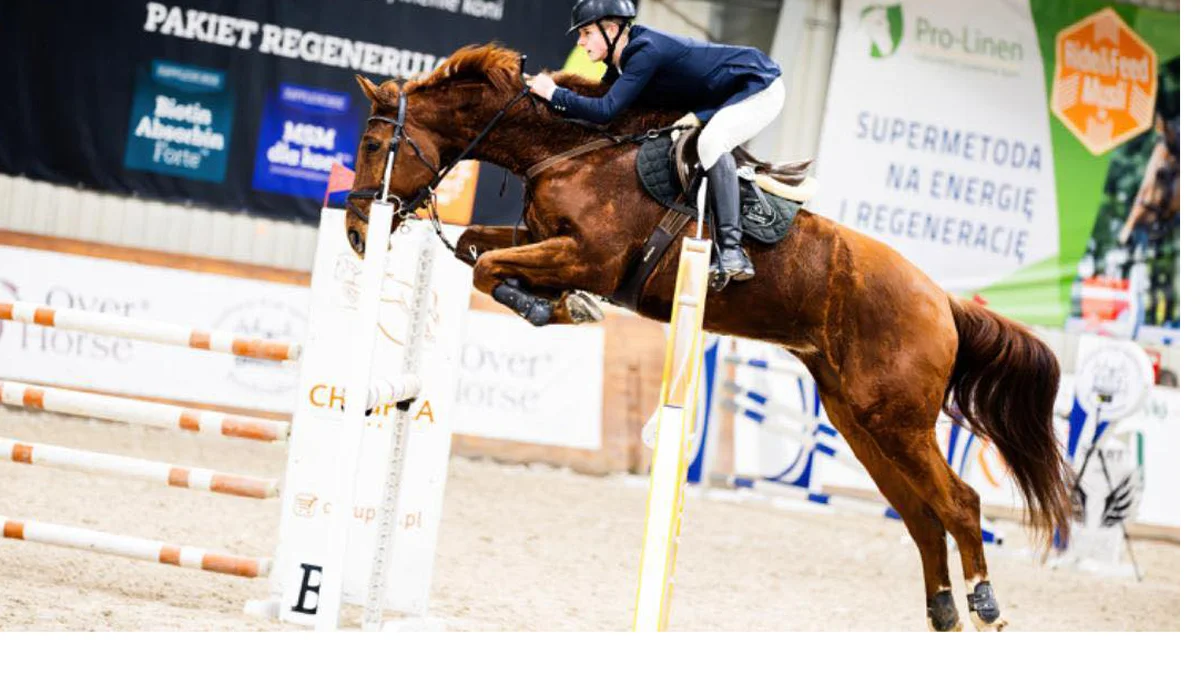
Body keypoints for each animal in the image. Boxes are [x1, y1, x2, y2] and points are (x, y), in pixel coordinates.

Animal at [345, 44, 1070, 629]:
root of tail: (942, 298)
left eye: (375, 148)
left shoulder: (590, 257)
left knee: (961, 503)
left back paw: (984, 603)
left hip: (897, 419)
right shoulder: (542, 240)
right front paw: (552, 303)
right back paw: (944, 609)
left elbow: (490, 264)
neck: (570, 150)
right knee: (923, 515)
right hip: (860, 420)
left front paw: (560, 306)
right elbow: (477, 247)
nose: (355, 232)